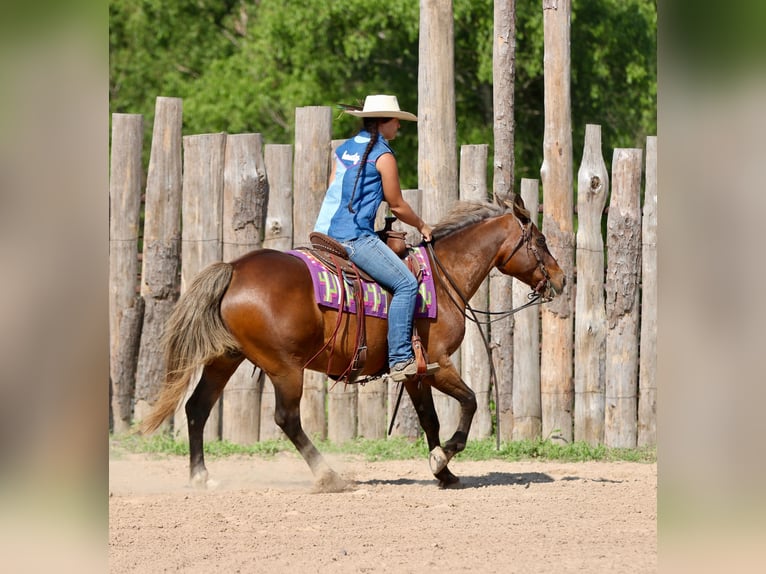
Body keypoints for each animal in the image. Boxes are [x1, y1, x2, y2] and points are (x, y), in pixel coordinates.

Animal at [140, 193, 565, 490]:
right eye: (541, 240)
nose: (562, 279)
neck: (442, 280)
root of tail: (233, 269)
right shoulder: (439, 364)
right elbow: (470, 402)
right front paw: (446, 454)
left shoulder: (415, 372)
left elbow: (429, 418)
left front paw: (443, 471)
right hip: (284, 367)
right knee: (286, 419)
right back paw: (329, 476)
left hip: (225, 359)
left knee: (197, 408)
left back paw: (201, 476)